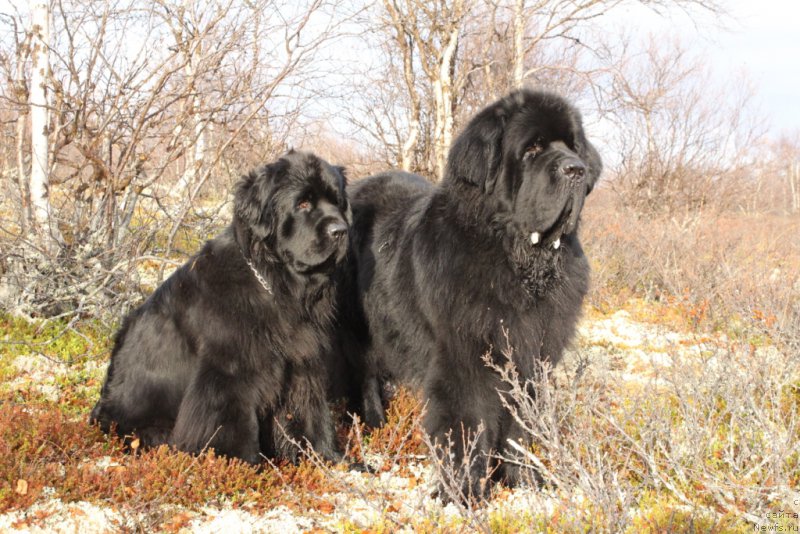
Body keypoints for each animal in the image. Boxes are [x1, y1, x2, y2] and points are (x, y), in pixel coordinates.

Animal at [90, 151, 350, 464]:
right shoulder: (228, 375)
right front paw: (239, 466)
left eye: (337, 202)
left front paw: (331, 459)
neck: (276, 285)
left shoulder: (303, 366)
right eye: (302, 203)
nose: (341, 230)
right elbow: (232, 426)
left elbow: (312, 413)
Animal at [342, 91, 600, 498]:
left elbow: (521, 428)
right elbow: (467, 425)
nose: (576, 170)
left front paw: (526, 484)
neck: (517, 263)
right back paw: (374, 424)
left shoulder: (531, 357)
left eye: (573, 147)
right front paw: (463, 494)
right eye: (533, 148)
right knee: (365, 373)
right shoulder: (464, 357)